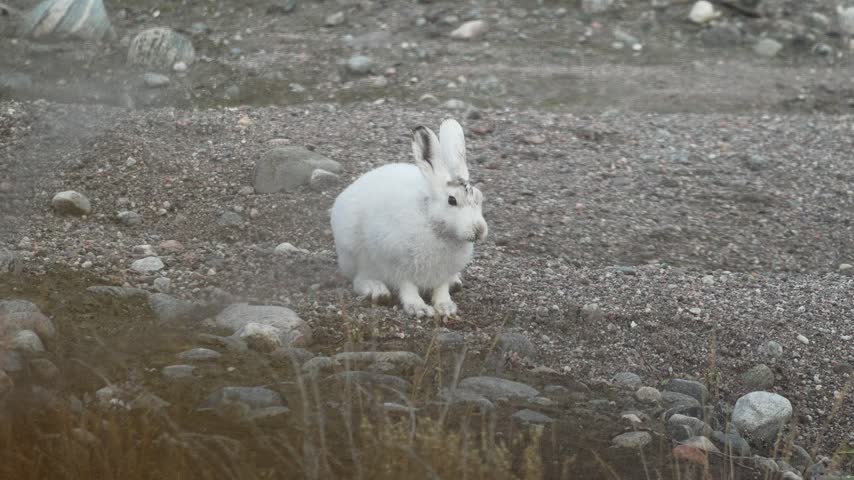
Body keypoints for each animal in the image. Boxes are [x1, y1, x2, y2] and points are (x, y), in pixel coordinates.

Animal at [330, 118, 488, 317]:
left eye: (480, 197)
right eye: (452, 200)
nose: (479, 230)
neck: (435, 225)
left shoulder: (443, 273)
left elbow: (441, 288)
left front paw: (446, 307)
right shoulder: (398, 265)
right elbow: (408, 287)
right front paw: (419, 308)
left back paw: (455, 282)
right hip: (354, 253)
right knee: (359, 279)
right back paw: (377, 290)